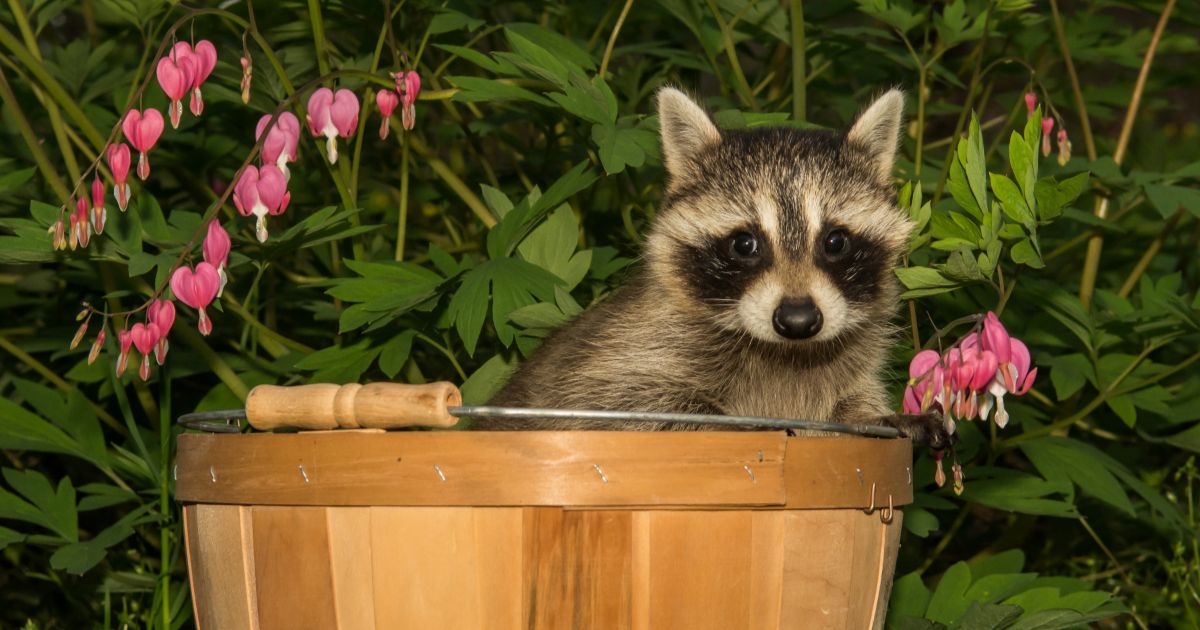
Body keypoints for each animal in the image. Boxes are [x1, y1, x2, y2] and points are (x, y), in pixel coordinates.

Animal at [475, 88, 946, 444]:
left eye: (835, 241)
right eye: (744, 243)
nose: (798, 320)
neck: (785, 353)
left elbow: (848, 400)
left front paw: (874, 416)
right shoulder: (625, 354)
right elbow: (616, 405)